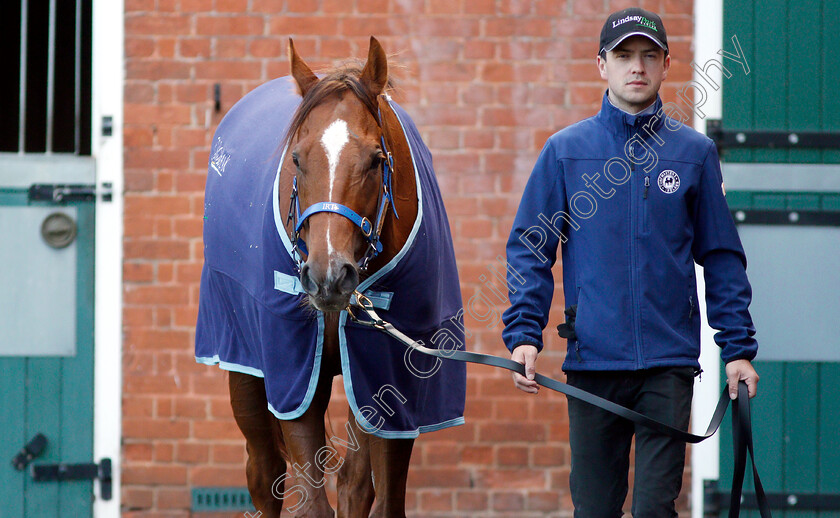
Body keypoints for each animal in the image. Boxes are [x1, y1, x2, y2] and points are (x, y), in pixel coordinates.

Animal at [199, 37, 466, 518]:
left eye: (376, 160)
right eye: (297, 159)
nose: (328, 276)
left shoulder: (387, 380)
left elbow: (375, 495)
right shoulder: (296, 374)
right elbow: (309, 502)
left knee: (352, 485)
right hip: (245, 368)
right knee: (265, 474)